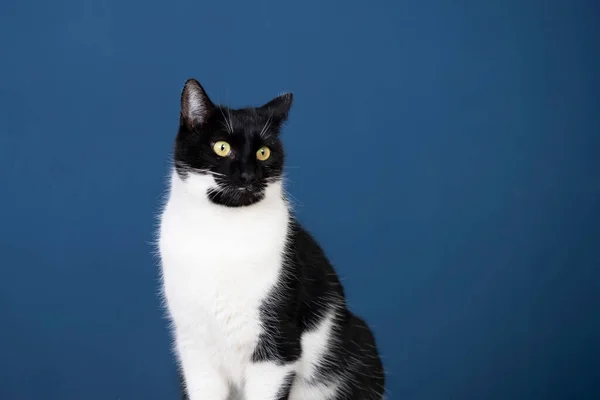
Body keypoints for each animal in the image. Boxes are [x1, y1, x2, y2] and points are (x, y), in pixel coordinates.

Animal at [158, 79, 384, 400]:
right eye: (222, 147)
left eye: (263, 152)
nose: (248, 175)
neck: (223, 230)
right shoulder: (193, 348)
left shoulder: (277, 346)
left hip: (361, 344)